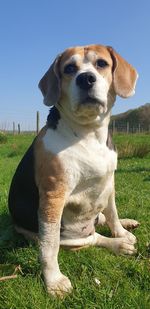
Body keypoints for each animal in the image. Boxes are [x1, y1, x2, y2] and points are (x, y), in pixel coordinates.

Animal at [8, 44, 139, 296]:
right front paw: (53, 281)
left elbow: (113, 213)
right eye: (69, 68)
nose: (86, 78)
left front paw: (120, 230)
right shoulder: (53, 197)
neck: (88, 134)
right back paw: (119, 245)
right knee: (93, 238)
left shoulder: (109, 182)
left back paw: (125, 228)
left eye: (101, 64)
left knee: (101, 221)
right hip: (67, 235)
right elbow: (49, 248)